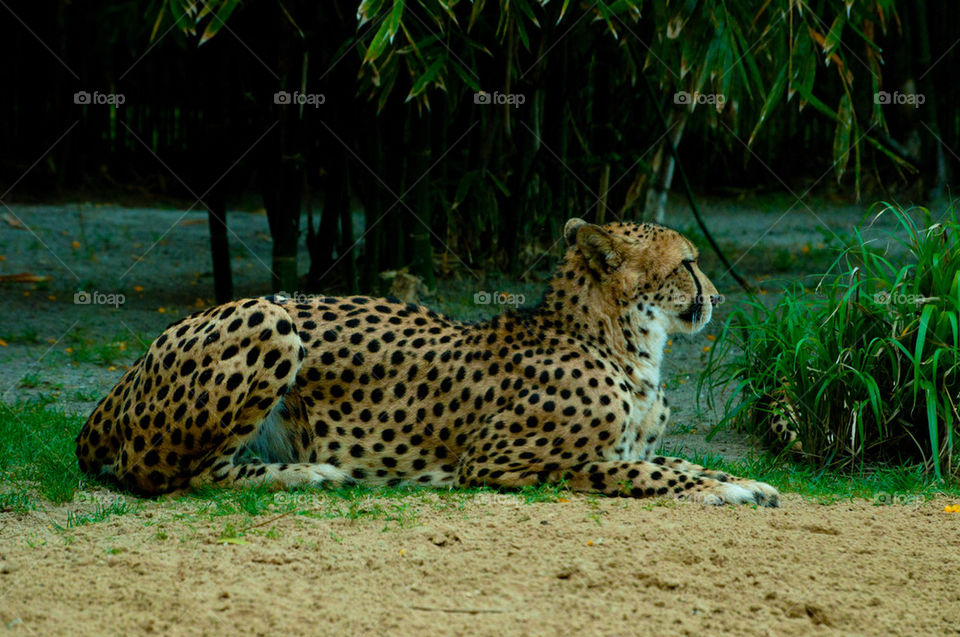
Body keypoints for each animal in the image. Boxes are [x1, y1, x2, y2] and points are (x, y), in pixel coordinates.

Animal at [75, 217, 780, 506]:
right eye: (689, 263)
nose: (717, 296)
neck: (623, 342)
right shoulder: (497, 464)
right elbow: (637, 471)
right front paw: (726, 488)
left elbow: (677, 461)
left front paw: (743, 481)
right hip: (271, 318)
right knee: (173, 477)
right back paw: (308, 474)